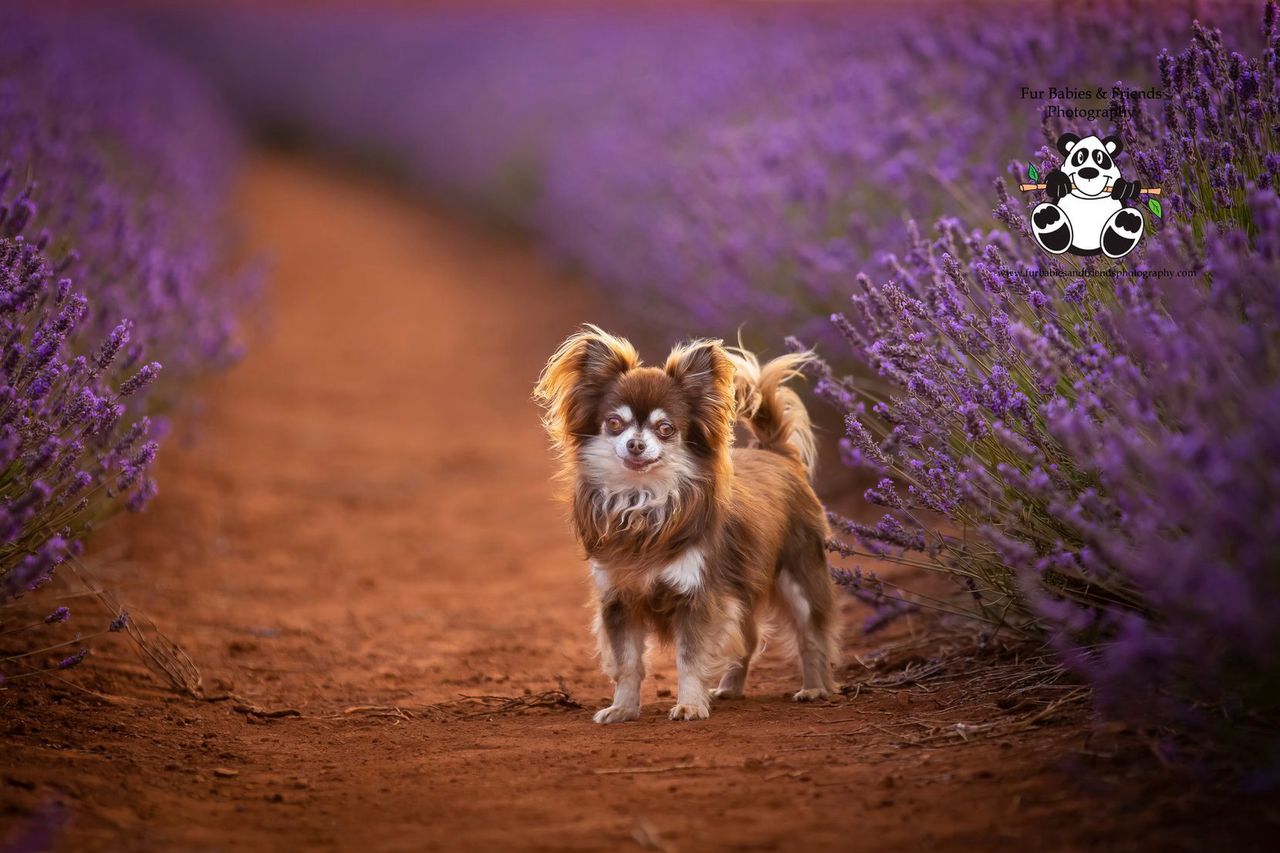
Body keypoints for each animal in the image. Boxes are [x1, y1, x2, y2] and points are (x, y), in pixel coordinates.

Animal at [532, 324, 839, 717]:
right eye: (614, 423)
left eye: (665, 428)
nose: (635, 444)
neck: (642, 499)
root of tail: (777, 454)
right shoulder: (619, 598)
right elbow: (627, 663)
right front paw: (623, 710)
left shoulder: (699, 596)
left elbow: (690, 658)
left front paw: (690, 706)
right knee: (748, 639)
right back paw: (730, 688)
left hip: (798, 573)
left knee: (811, 634)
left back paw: (815, 688)